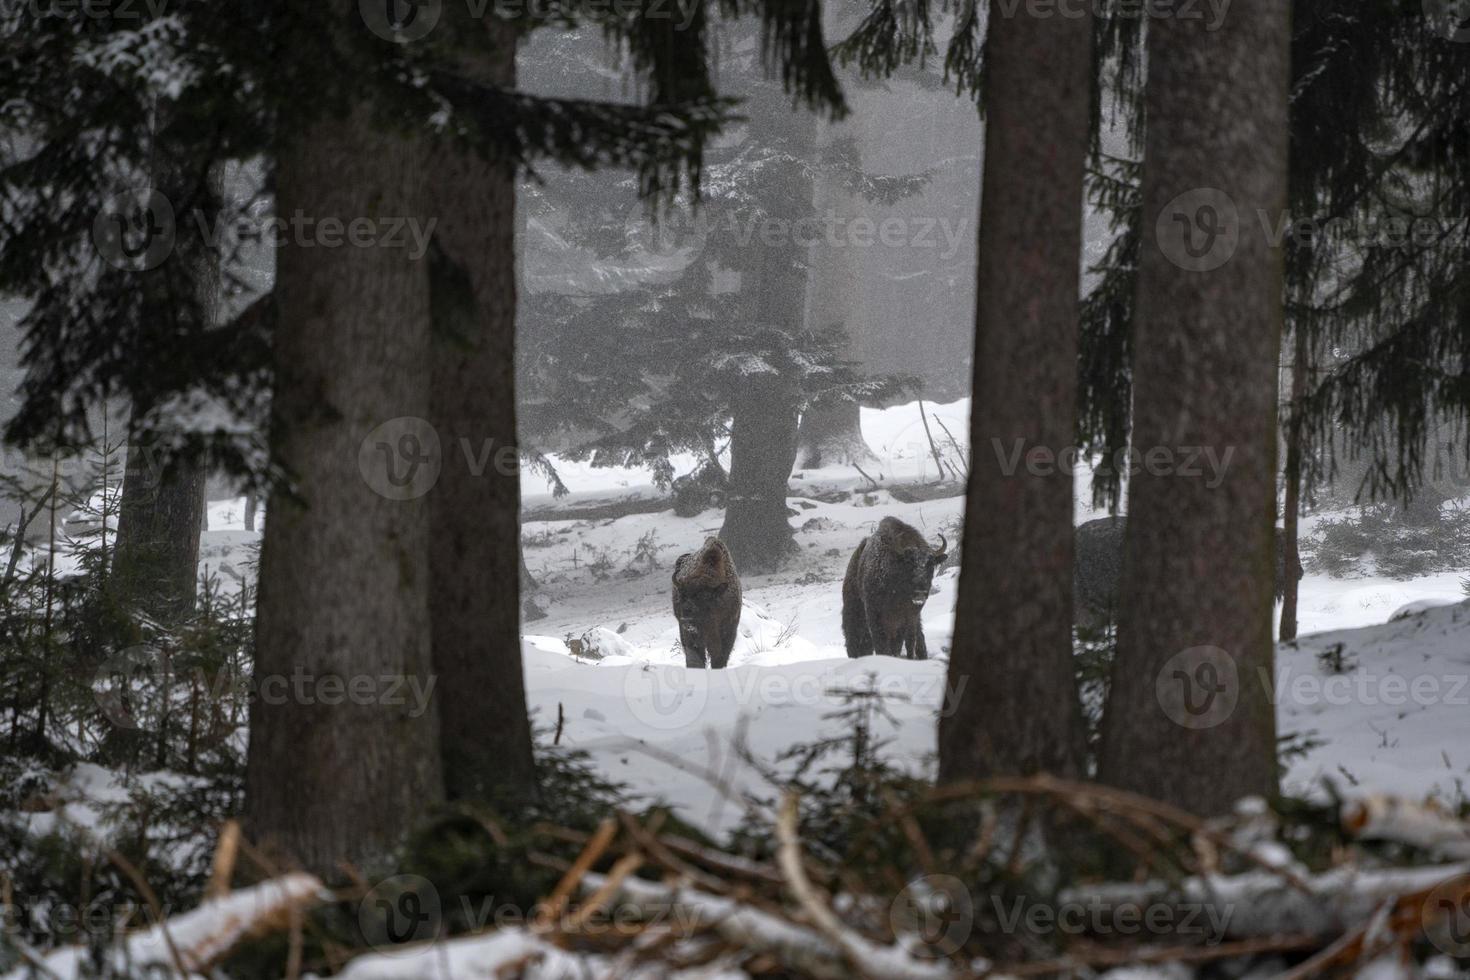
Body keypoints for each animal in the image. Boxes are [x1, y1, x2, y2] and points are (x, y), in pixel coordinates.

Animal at [846, 517, 946, 664]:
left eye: (931, 564)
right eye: (909, 562)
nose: (920, 593)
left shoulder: (907, 618)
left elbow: (900, 643)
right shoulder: (874, 614)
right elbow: (880, 642)